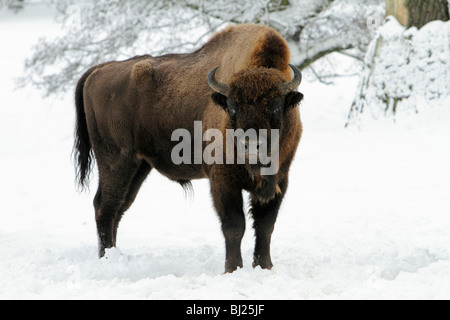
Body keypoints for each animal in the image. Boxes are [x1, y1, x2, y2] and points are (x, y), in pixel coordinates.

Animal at [75, 23, 304, 272]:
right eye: (232, 109)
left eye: (276, 108)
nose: (251, 144)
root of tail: (99, 70)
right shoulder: (222, 181)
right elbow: (234, 226)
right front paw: (232, 268)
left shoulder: (280, 179)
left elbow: (265, 226)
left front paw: (264, 266)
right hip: (115, 161)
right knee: (105, 206)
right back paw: (106, 259)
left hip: (139, 166)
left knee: (119, 207)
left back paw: (116, 256)